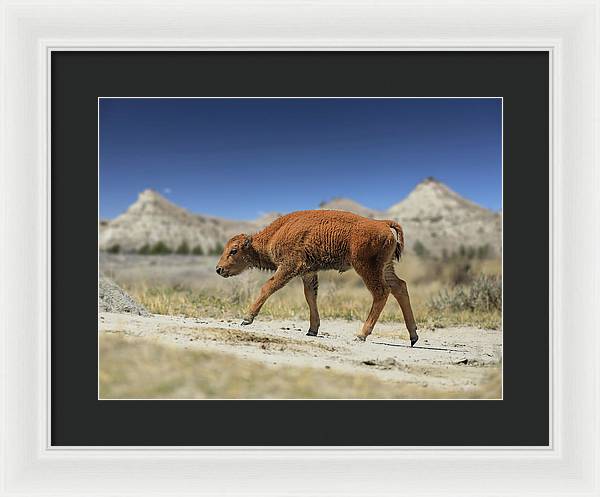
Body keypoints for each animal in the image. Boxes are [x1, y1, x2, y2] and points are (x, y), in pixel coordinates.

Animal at [214, 209, 418, 344]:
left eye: (234, 250)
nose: (219, 269)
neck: (274, 235)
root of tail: (382, 223)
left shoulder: (289, 267)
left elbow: (268, 287)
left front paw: (247, 318)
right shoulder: (308, 273)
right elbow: (310, 297)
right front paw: (312, 330)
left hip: (366, 268)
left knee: (381, 292)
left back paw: (361, 334)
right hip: (386, 267)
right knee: (400, 287)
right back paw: (413, 336)